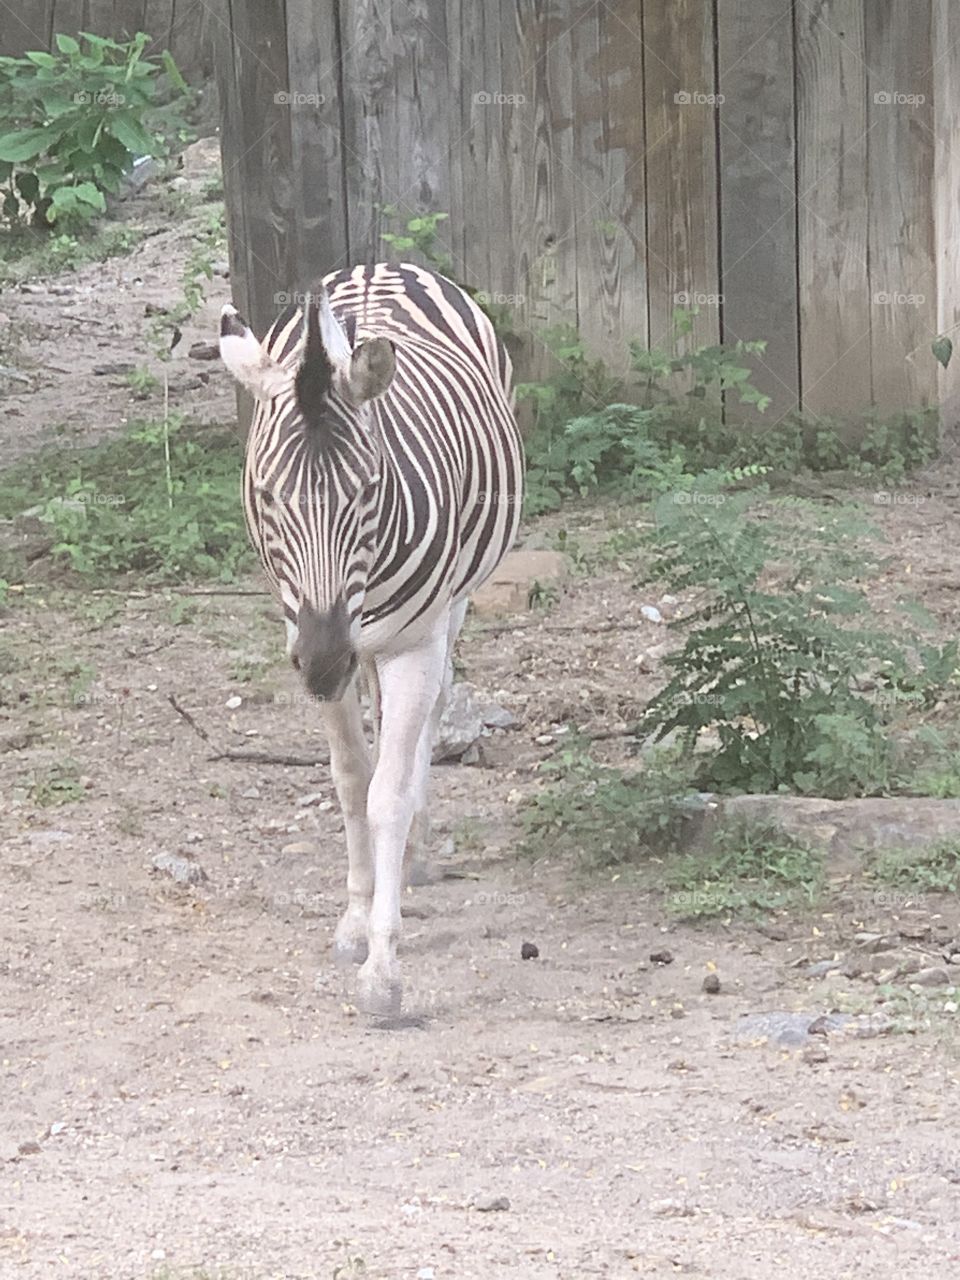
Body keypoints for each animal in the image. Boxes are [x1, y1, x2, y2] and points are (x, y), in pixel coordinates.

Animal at [219, 262, 524, 1015]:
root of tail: (379, 265)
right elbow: (355, 780)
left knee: (428, 721)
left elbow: (388, 789)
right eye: (267, 496)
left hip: (451, 607)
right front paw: (357, 921)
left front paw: (384, 965)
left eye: (366, 491)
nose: (328, 659)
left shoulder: (412, 641)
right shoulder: (302, 630)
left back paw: (417, 850)